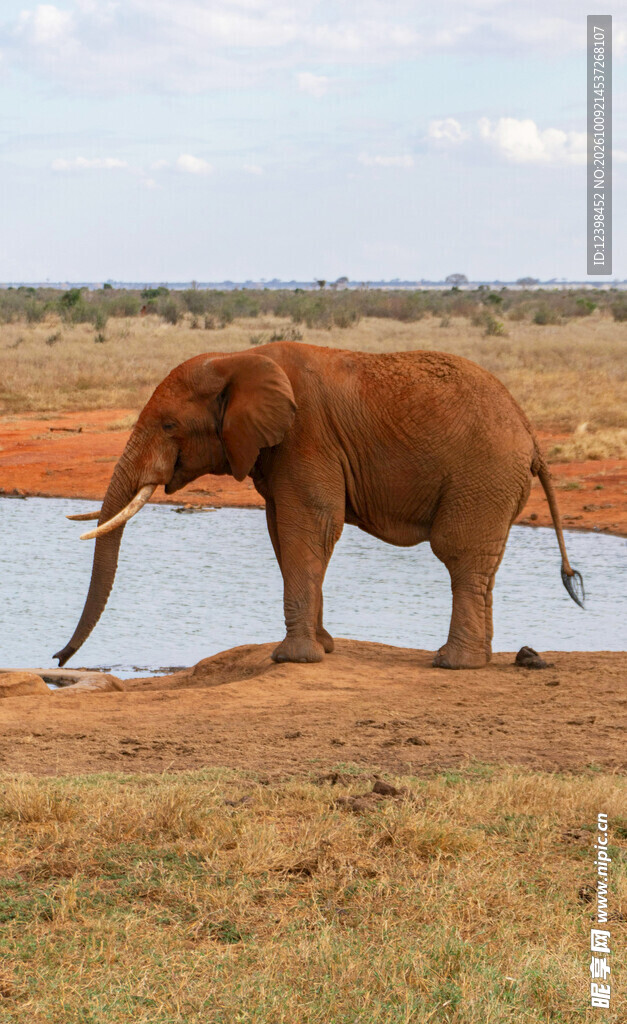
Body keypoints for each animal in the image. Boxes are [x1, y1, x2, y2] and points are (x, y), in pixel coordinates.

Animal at [54, 342, 583, 670]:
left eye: (168, 426)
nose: (57, 658)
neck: (238, 358)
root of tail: (531, 433)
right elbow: (285, 533)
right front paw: (324, 649)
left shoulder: (307, 436)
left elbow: (308, 525)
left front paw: (293, 658)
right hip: (493, 482)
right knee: (480, 565)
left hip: (482, 475)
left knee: (460, 555)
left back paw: (453, 664)